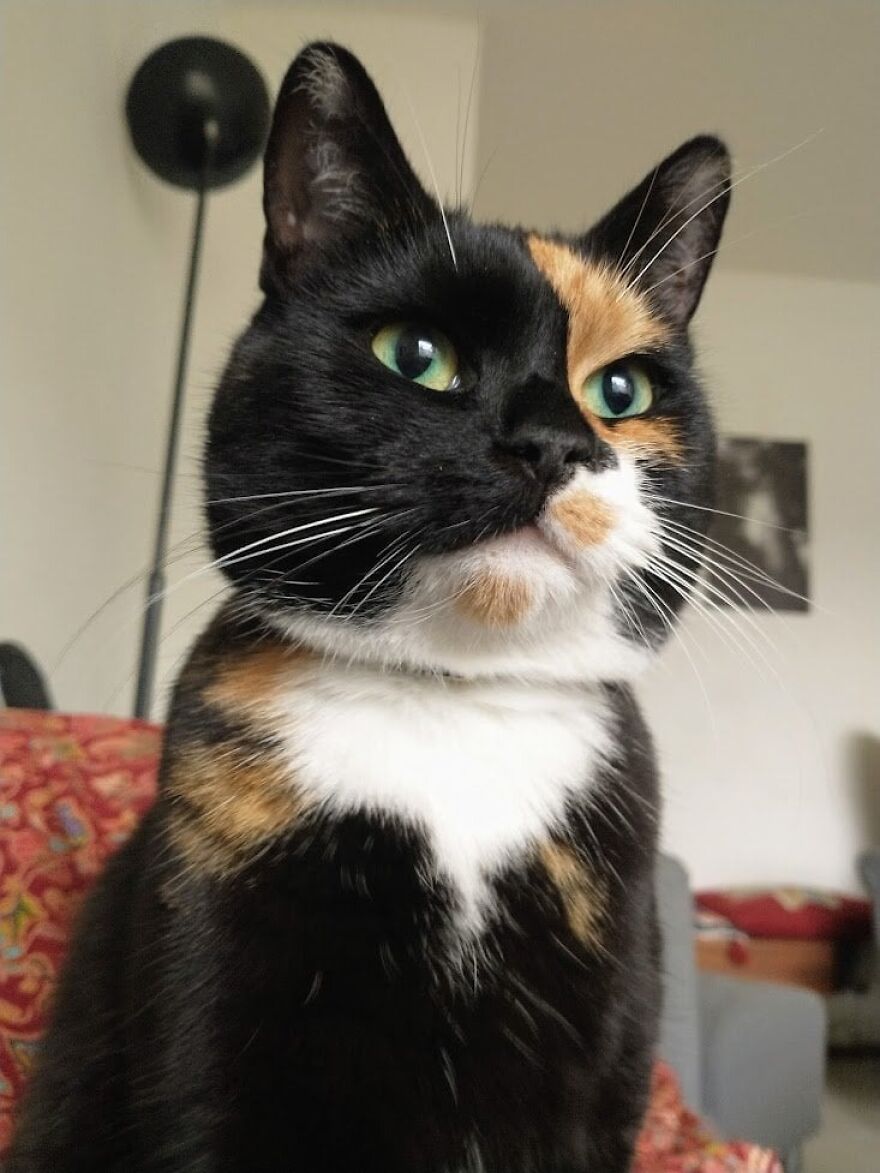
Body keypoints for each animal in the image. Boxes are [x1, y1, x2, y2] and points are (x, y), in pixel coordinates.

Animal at [10, 41, 732, 1173]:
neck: (451, 701)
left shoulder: (610, 1019)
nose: (548, 441)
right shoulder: (211, 980)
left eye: (621, 393)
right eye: (415, 353)